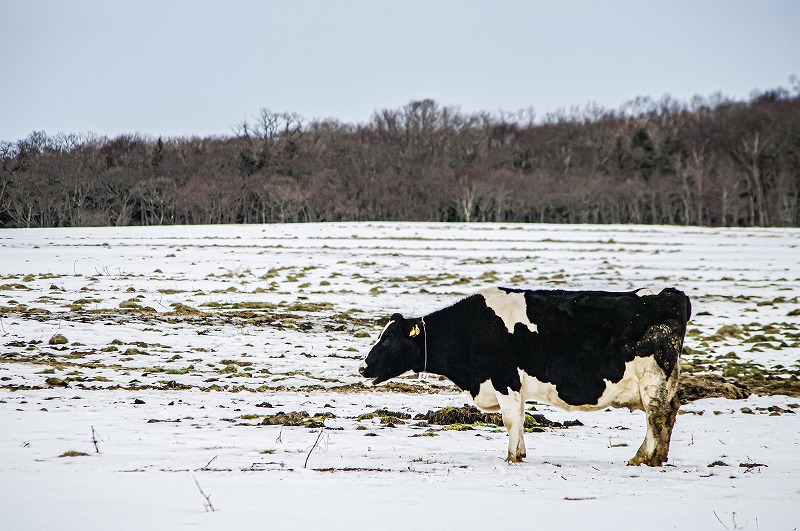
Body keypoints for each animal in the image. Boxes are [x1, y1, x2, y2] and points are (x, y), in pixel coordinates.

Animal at [360, 286, 692, 466]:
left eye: (387, 340)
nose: (363, 367)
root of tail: (671, 295)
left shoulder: (505, 379)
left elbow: (511, 420)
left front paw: (511, 457)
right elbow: (519, 418)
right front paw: (519, 452)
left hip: (652, 377)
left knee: (656, 416)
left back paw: (643, 458)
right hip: (667, 380)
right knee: (670, 412)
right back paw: (658, 457)